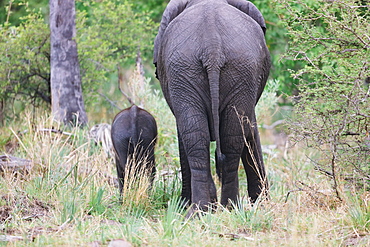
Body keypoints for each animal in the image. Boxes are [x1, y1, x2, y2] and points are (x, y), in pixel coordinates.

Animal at [154, 0, 272, 212]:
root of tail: (212, 47)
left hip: (228, 69)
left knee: (207, 137)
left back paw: (211, 209)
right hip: (200, 70)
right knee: (217, 137)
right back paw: (215, 209)